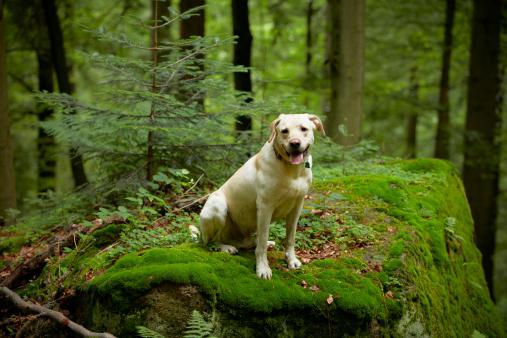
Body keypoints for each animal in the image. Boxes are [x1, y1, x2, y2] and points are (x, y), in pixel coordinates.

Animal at [199, 115, 326, 278]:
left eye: (304, 129)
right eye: (284, 131)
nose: (295, 143)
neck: (292, 169)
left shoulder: (297, 207)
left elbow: (290, 237)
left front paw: (291, 260)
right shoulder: (265, 207)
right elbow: (262, 243)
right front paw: (263, 268)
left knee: (248, 241)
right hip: (217, 206)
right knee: (210, 241)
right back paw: (225, 247)